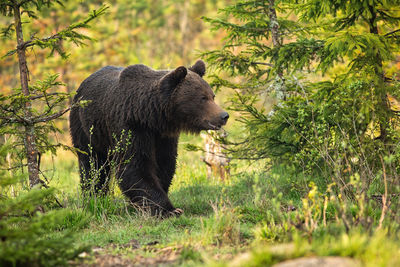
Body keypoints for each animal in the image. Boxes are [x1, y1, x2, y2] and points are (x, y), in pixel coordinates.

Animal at [69, 60, 228, 216]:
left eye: (212, 95)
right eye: (203, 98)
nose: (224, 115)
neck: (149, 117)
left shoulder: (163, 137)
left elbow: (165, 164)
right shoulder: (131, 128)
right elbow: (135, 167)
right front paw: (168, 209)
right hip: (86, 128)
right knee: (92, 164)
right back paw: (94, 197)